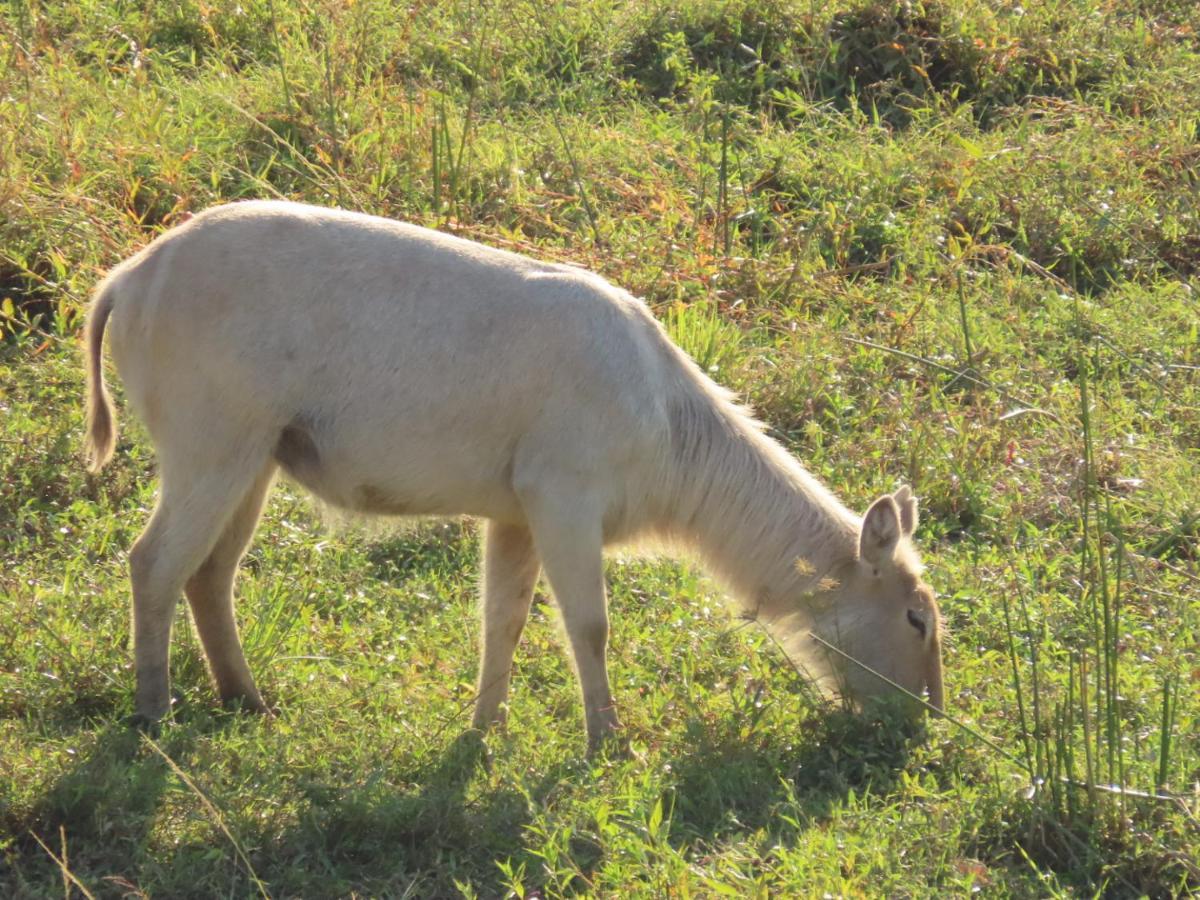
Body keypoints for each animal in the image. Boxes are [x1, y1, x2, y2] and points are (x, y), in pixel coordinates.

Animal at [84, 200, 945, 748]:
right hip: (209, 439)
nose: (926, 720)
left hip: (259, 452)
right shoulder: (562, 491)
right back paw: (155, 715)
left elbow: (502, 619)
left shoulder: (512, 511)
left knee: (210, 573)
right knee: (152, 563)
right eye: (918, 618)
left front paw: (482, 731)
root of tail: (124, 280)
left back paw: (250, 703)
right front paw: (607, 743)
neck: (669, 441)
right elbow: (589, 625)